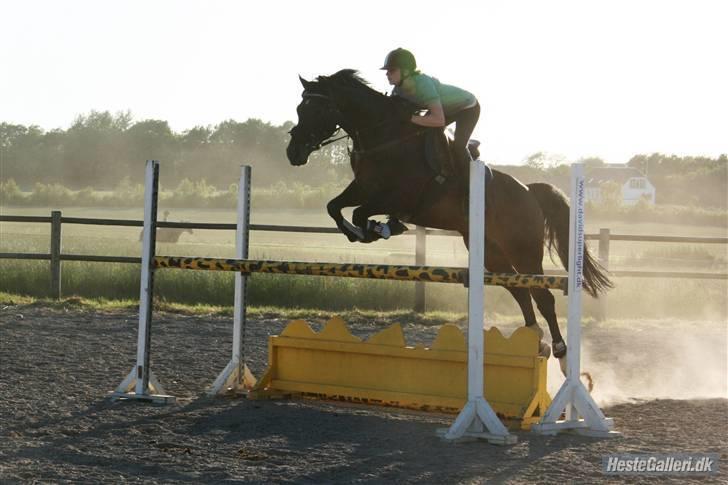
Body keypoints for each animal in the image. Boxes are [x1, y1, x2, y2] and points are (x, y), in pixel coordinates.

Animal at [284, 70, 608, 362]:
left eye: (318, 109)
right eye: (300, 109)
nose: (293, 153)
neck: (385, 137)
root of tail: (529, 190)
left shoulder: (397, 196)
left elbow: (361, 212)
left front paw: (377, 229)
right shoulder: (363, 188)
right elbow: (334, 207)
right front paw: (363, 232)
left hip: (523, 249)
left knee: (543, 294)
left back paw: (560, 348)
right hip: (491, 252)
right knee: (519, 289)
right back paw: (535, 340)